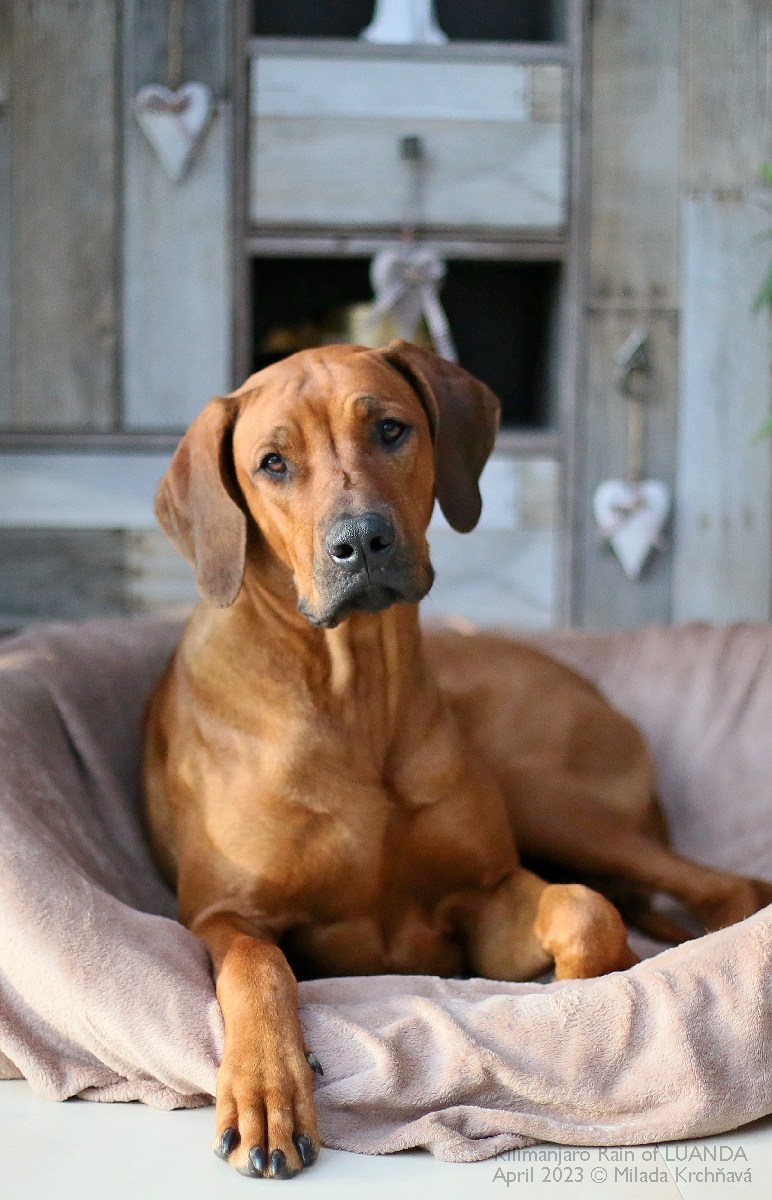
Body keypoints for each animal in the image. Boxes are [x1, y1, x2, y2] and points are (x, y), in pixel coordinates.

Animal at [143, 340, 772, 1180]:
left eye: (390, 429)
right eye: (272, 462)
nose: (361, 541)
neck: (354, 692)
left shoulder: (483, 891)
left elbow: (584, 911)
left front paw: (585, 990)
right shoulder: (220, 914)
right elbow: (257, 968)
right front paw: (267, 1089)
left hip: (547, 795)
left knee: (722, 885)